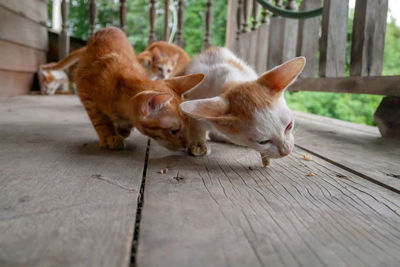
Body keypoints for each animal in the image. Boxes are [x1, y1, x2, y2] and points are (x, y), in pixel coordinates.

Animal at [44, 28, 203, 152]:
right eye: (173, 131)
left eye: (189, 124)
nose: (186, 145)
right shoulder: (86, 94)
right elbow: (99, 119)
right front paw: (109, 135)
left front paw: (123, 129)